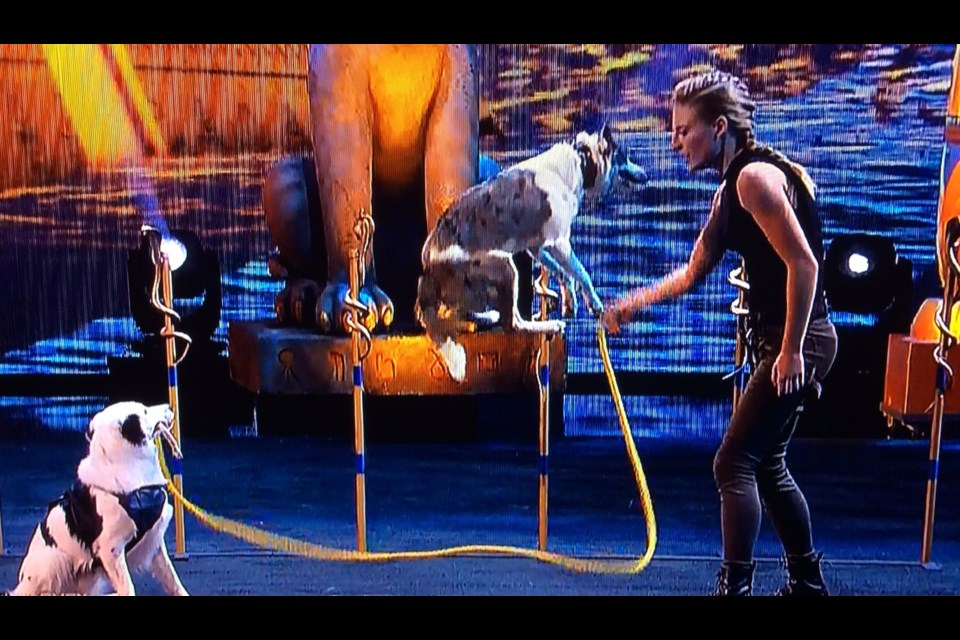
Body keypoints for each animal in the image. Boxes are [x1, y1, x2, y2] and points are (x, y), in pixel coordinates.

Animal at [7, 402, 189, 596]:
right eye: (145, 411)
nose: (170, 407)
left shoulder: (153, 539)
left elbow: (173, 579)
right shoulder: (111, 548)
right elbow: (128, 587)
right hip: (54, 561)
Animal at [416, 124, 648, 380]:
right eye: (624, 156)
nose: (646, 175)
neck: (581, 159)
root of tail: (429, 268)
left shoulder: (538, 247)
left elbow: (564, 274)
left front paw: (570, 301)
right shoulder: (560, 243)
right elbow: (582, 273)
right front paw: (594, 303)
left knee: (474, 315)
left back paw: (488, 316)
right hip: (506, 268)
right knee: (511, 324)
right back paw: (546, 325)